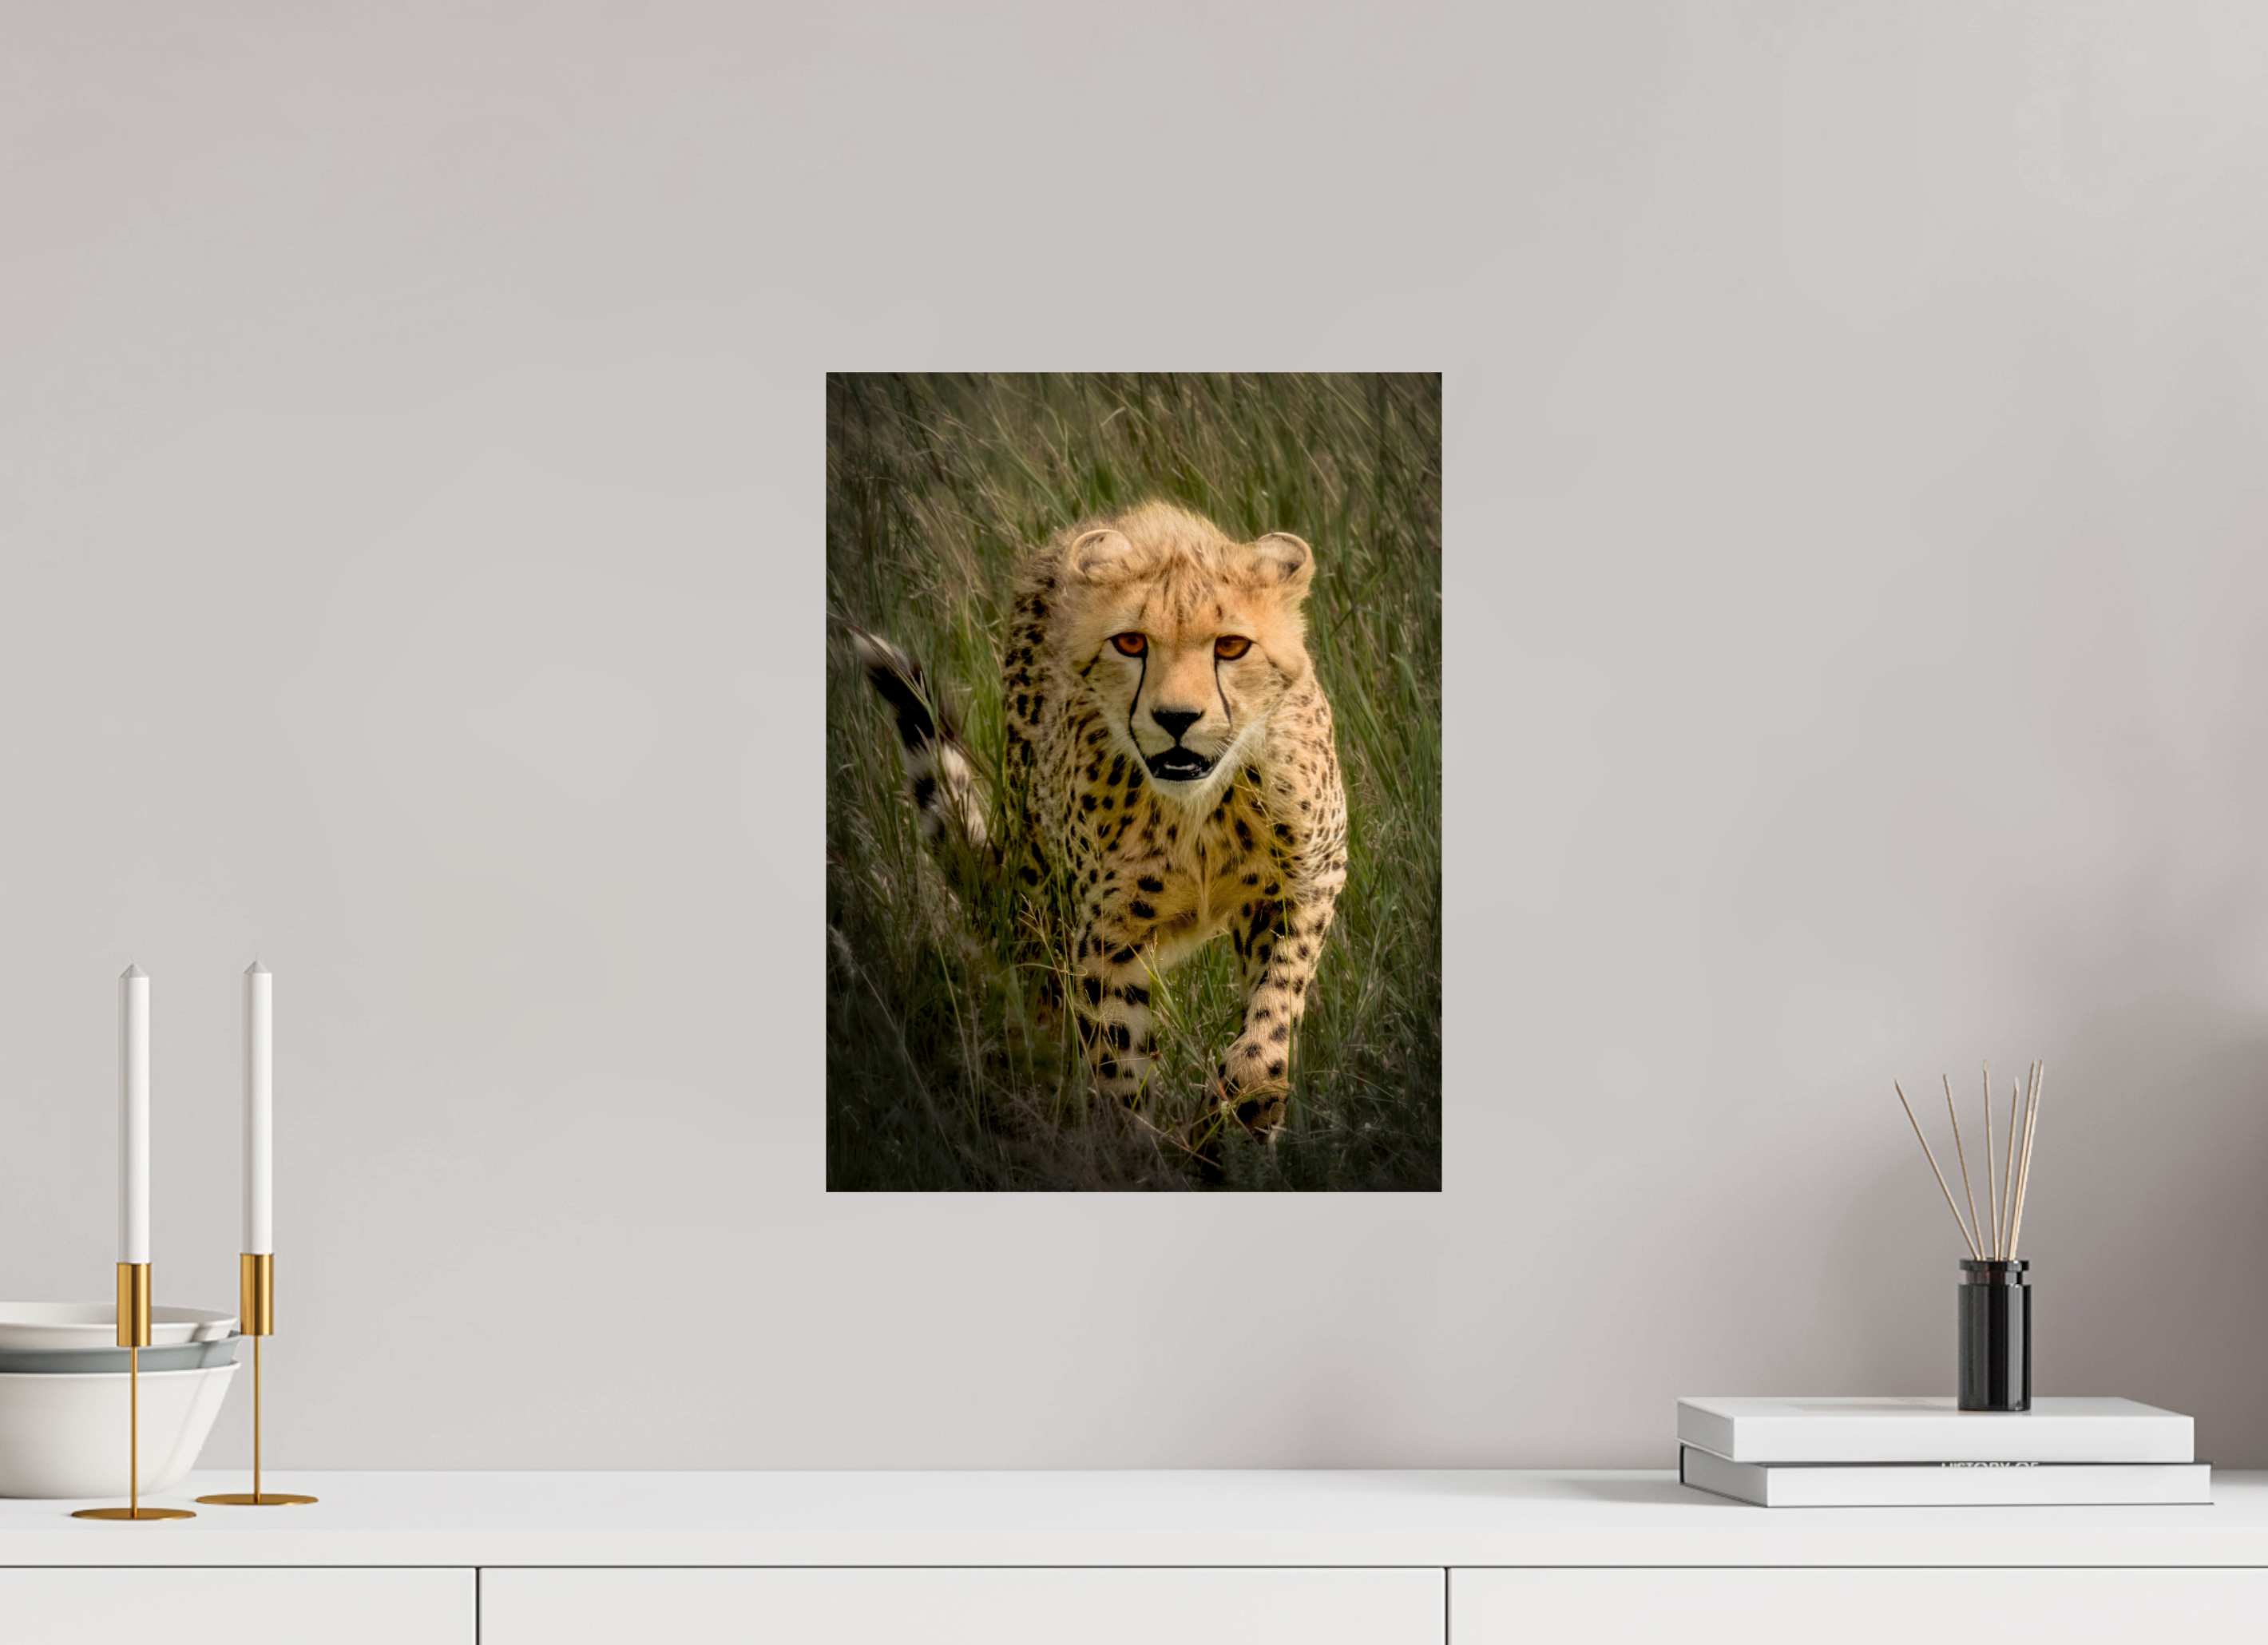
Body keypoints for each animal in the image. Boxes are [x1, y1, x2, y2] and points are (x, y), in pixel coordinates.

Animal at [852, 501, 1348, 1136]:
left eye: (1233, 646)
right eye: (1131, 643)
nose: (1177, 718)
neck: (1198, 808)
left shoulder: (1307, 881)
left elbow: (1274, 1007)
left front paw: (1243, 1104)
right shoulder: (1107, 934)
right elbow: (1118, 1058)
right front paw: (1134, 1146)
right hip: (1043, 892)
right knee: (1045, 998)